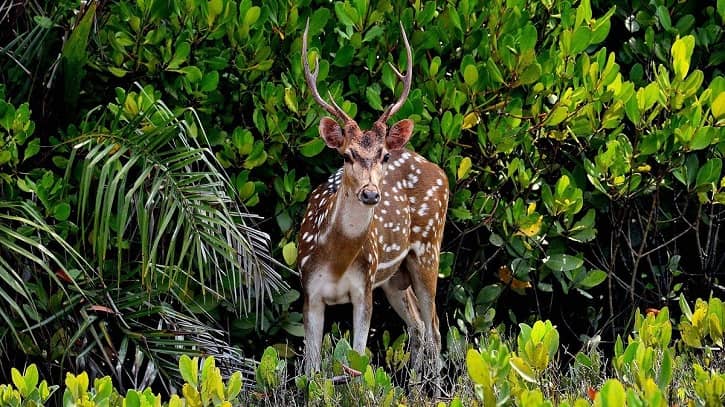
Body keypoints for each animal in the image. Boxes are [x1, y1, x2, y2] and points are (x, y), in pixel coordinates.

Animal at [296, 20, 446, 386]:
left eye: (383, 155)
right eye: (347, 155)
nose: (370, 194)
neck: (335, 260)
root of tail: (439, 170)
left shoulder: (364, 288)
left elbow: (357, 363)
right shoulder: (309, 290)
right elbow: (312, 370)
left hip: (428, 249)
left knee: (434, 328)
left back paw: (436, 391)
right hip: (393, 277)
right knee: (418, 327)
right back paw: (415, 388)